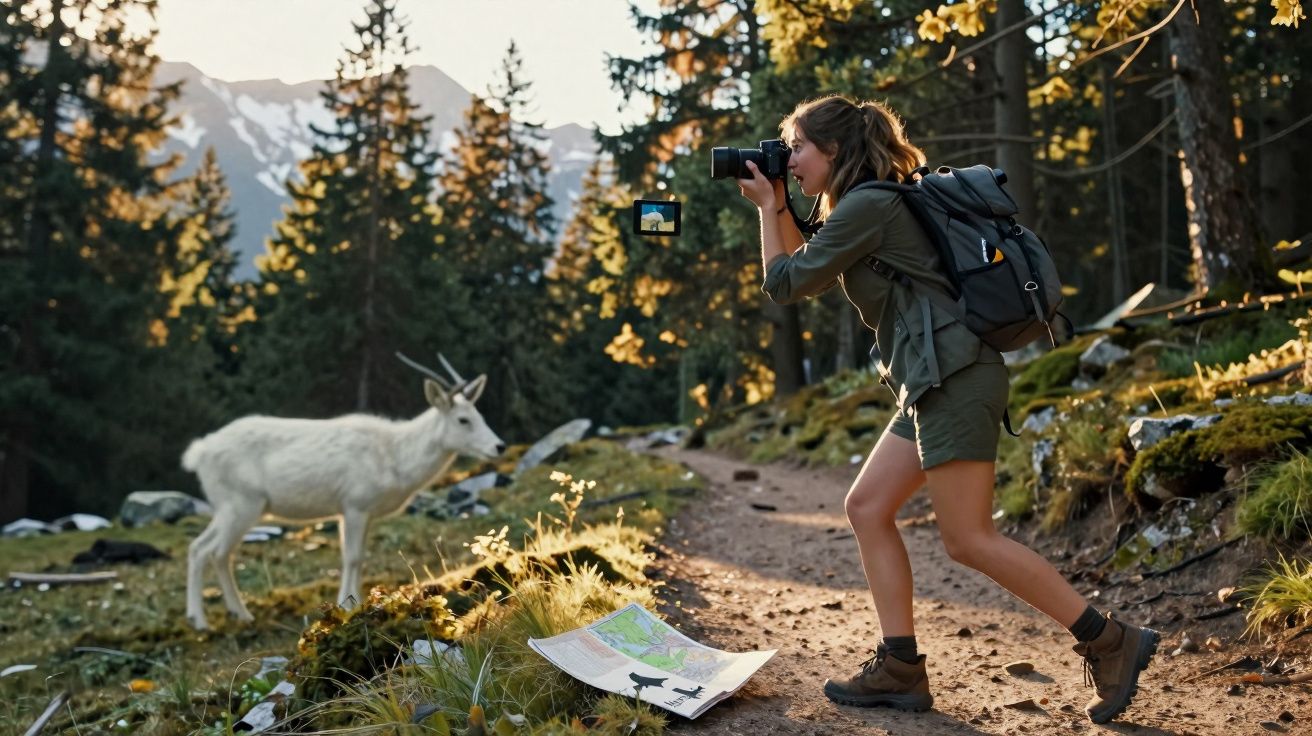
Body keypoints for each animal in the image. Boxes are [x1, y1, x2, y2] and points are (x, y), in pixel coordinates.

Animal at [182, 354, 504, 630]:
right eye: (463, 419)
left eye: (479, 413)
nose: (499, 446)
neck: (396, 459)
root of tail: (198, 453)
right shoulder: (355, 503)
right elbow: (353, 557)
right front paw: (347, 606)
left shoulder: (361, 511)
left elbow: (358, 557)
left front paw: (356, 604)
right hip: (242, 502)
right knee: (216, 551)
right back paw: (222, 617)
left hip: (227, 506)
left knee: (199, 547)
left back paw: (215, 616)